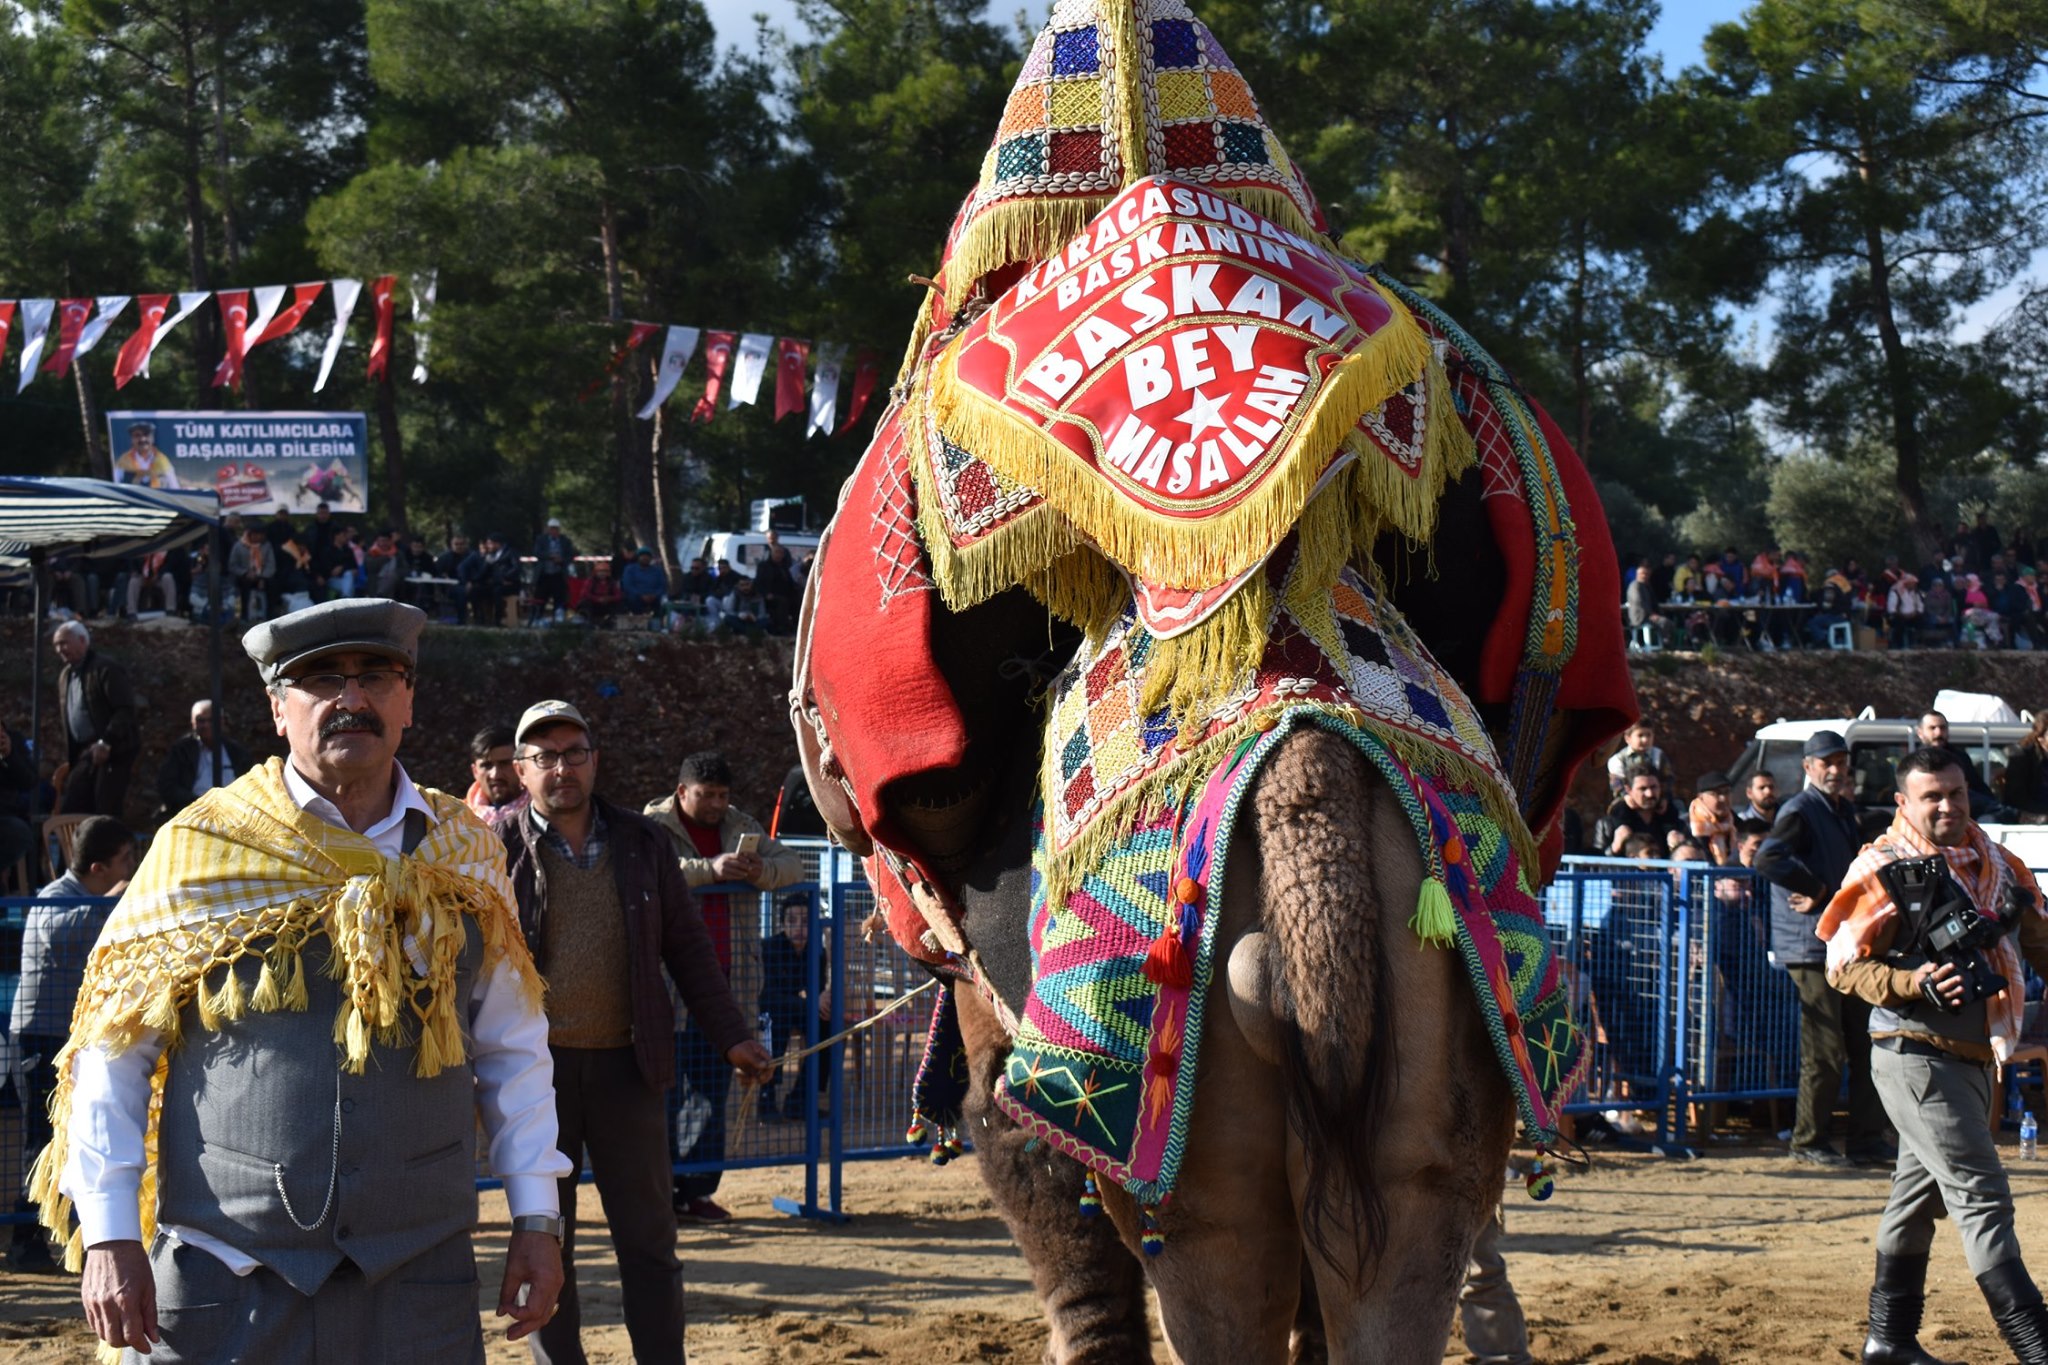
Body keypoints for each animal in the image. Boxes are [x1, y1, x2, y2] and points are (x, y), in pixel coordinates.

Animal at [782, 5, 1630, 1358]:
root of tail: (1305, 795)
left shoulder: (1000, 1012)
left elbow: (1050, 1213)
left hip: (1190, 1127)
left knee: (1203, 1262)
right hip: (1437, 1048)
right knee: (1396, 1250)